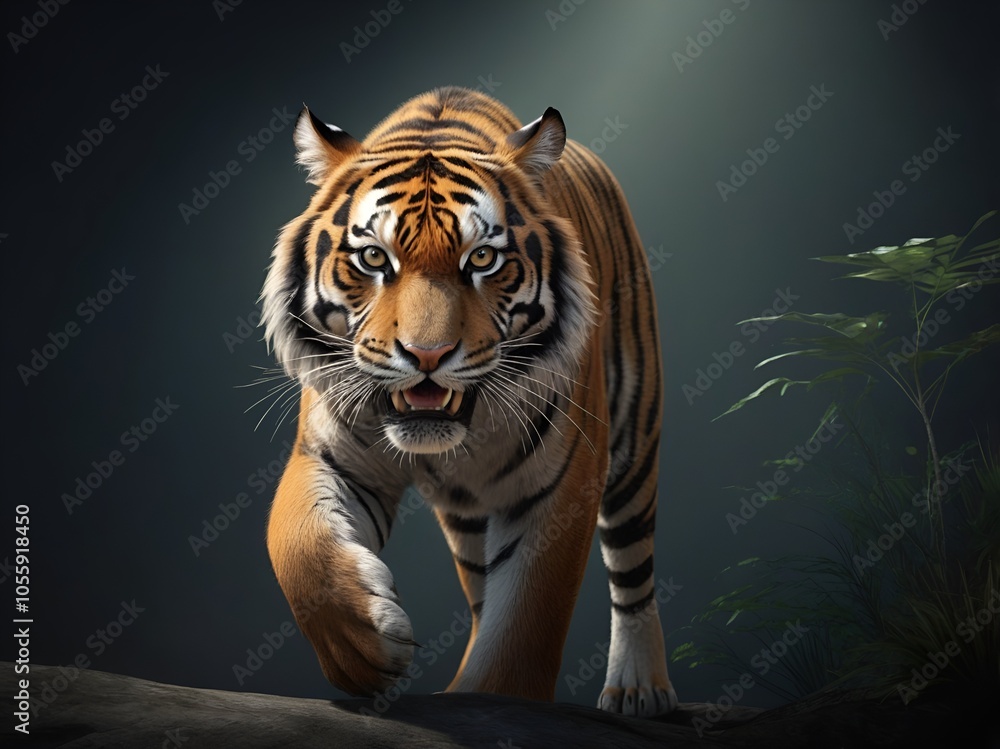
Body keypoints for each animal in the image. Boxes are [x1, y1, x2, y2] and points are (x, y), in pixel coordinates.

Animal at [261, 86, 677, 717]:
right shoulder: (331, 454)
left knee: (633, 569)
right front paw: (367, 646)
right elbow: (294, 543)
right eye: (374, 259)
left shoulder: (562, 482)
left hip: (635, 438)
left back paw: (638, 687)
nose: (426, 355)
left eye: (481, 259)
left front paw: (494, 701)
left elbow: (526, 623)